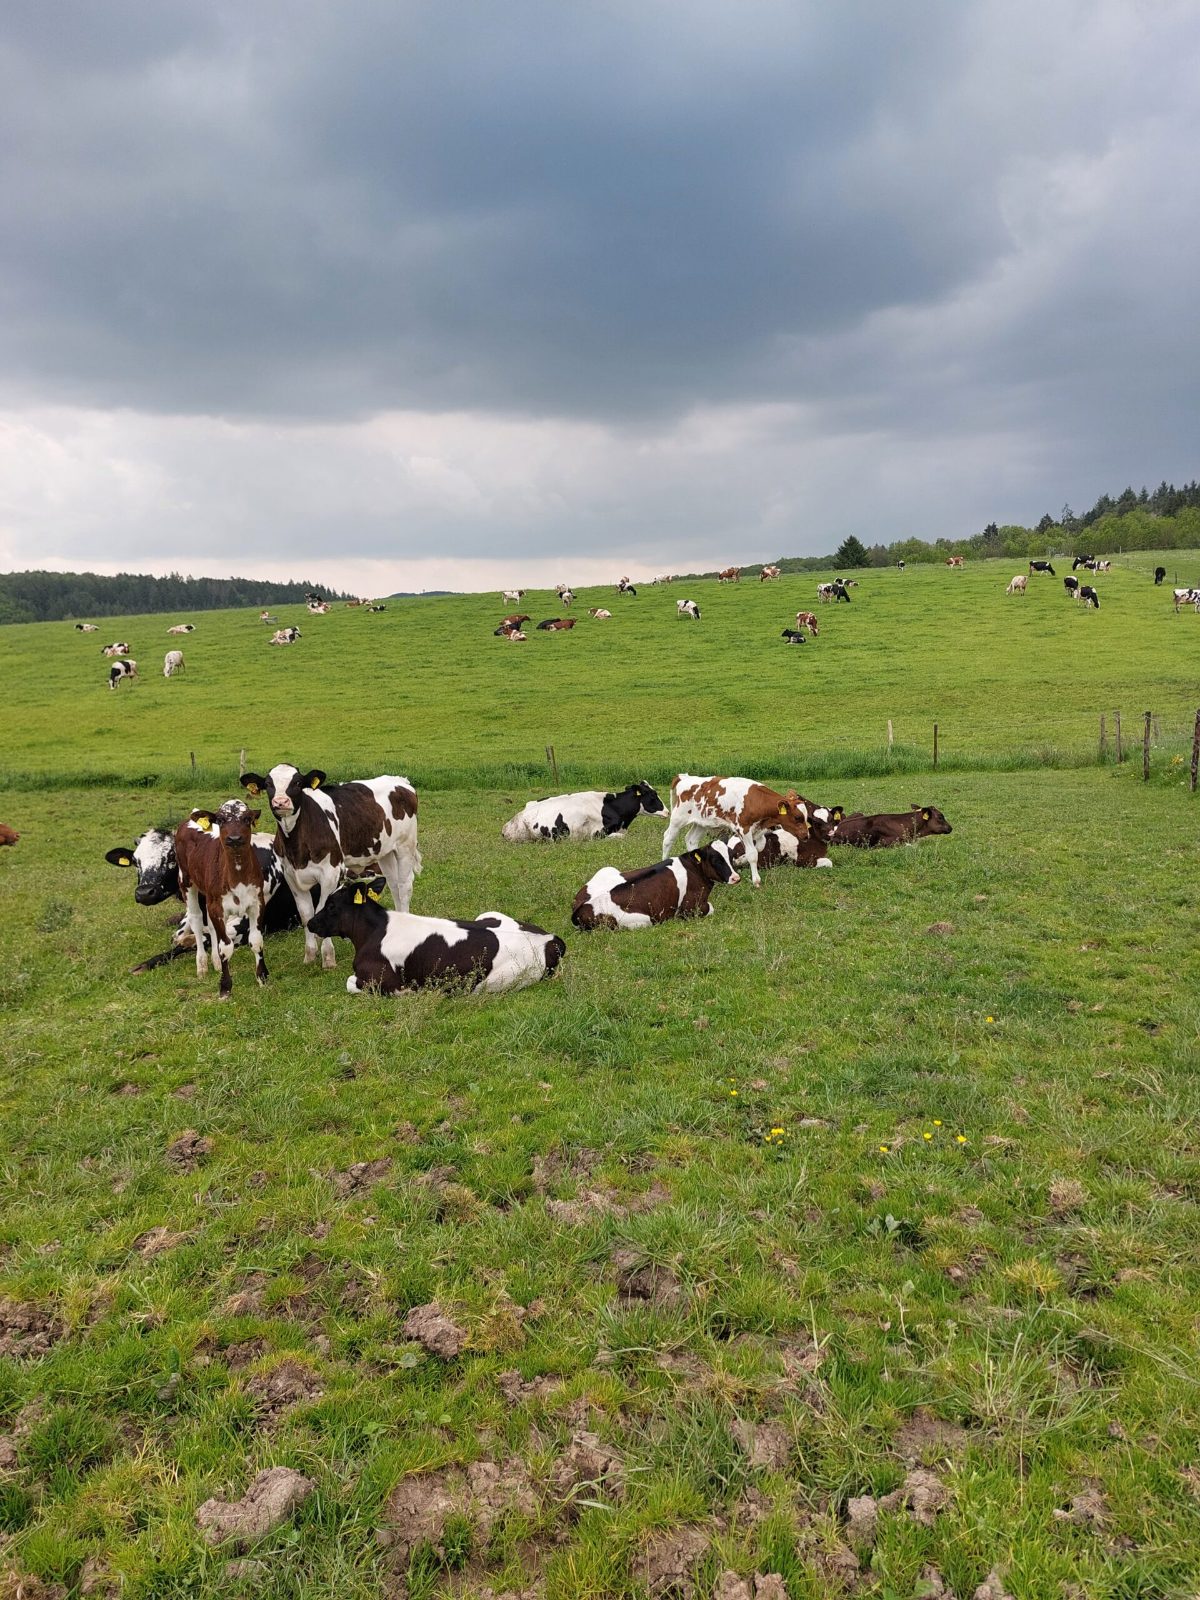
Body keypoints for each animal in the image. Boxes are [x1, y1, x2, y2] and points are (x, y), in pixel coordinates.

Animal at [174, 802, 268, 997]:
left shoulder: (257, 902)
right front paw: (225, 988)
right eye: (222, 819)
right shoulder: (218, 907)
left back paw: (216, 962)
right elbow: (225, 947)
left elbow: (256, 940)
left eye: (247, 818)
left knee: (210, 925)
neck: (237, 875)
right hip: (186, 881)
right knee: (196, 918)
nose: (234, 838)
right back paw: (202, 964)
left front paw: (262, 979)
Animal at [238, 763, 421, 967]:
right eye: (269, 784)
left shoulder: (330, 874)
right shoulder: (291, 876)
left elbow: (322, 908)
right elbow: (306, 914)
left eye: (297, 782)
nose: (281, 802)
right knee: (394, 885)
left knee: (404, 887)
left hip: (405, 846)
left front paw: (328, 958)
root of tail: (401, 781)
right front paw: (310, 955)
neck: (297, 842)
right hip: (385, 852)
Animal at [308, 883, 564, 996]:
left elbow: (350, 983)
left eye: (331, 906)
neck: (373, 932)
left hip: (499, 981)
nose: (310, 923)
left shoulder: (381, 982)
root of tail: (549, 938)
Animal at [571, 841, 740, 930]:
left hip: (606, 868)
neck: (693, 868)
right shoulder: (690, 909)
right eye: (716, 860)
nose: (736, 878)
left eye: (731, 856)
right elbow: (711, 908)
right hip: (642, 920)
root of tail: (580, 908)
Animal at [660, 774, 812, 889]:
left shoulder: (758, 829)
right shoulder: (743, 829)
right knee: (668, 839)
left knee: (691, 840)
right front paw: (756, 880)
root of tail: (684, 777)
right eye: (797, 817)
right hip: (678, 819)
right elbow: (753, 854)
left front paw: (740, 860)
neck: (755, 800)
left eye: (806, 817)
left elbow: (759, 847)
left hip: (702, 822)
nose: (806, 836)